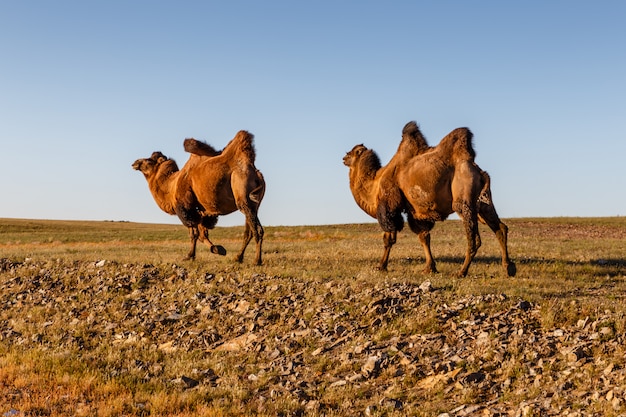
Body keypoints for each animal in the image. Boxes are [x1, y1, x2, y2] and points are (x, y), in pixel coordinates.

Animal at [133, 129, 264, 264]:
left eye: (149, 160)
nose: (135, 162)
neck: (171, 185)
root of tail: (256, 174)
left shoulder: (186, 207)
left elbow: (194, 234)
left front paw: (193, 255)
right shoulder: (202, 211)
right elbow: (202, 233)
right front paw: (216, 249)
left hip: (242, 195)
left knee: (257, 230)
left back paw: (256, 261)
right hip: (252, 204)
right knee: (249, 231)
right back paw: (238, 257)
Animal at [344, 120, 516, 276]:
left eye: (353, 152)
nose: (343, 157)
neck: (376, 182)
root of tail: (479, 171)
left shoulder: (389, 207)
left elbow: (389, 239)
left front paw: (381, 266)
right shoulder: (415, 212)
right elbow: (424, 237)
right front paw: (429, 268)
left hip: (463, 199)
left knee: (474, 238)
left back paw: (461, 272)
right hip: (483, 202)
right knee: (500, 228)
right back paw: (508, 268)